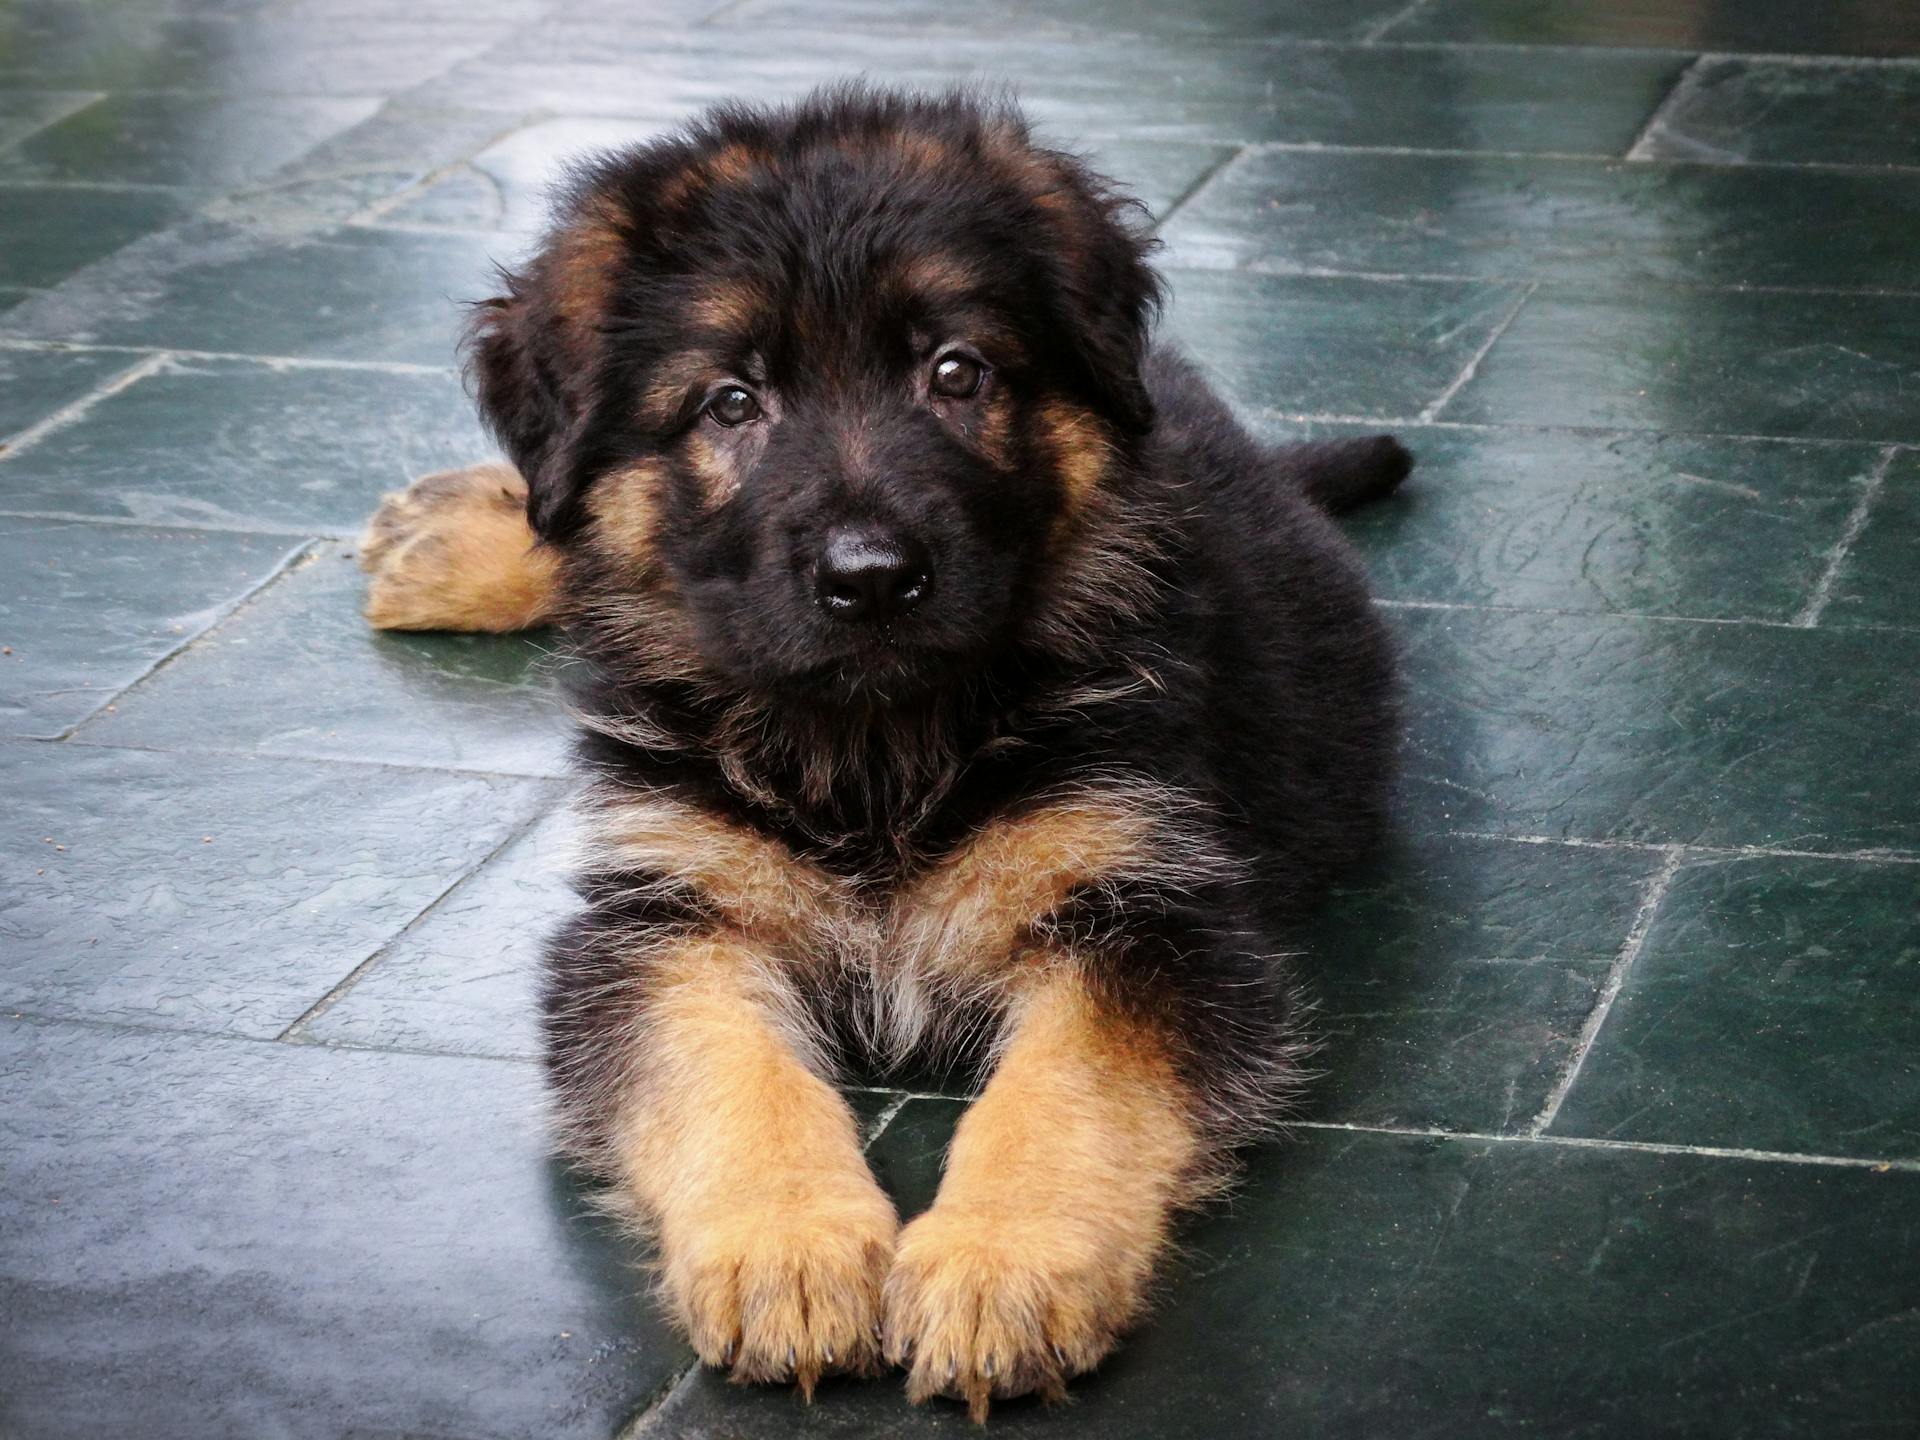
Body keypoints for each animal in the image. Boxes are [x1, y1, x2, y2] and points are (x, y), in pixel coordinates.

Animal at [360, 84, 1413, 1428]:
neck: (874, 747)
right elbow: (725, 1073)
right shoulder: (667, 914)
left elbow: (1065, 1088)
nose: (871, 579)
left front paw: (1000, 1263)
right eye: (731, 403)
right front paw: (786, 1250)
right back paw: (458, 536)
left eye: (955, 373)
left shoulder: (1142, 910)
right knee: (570, 534)